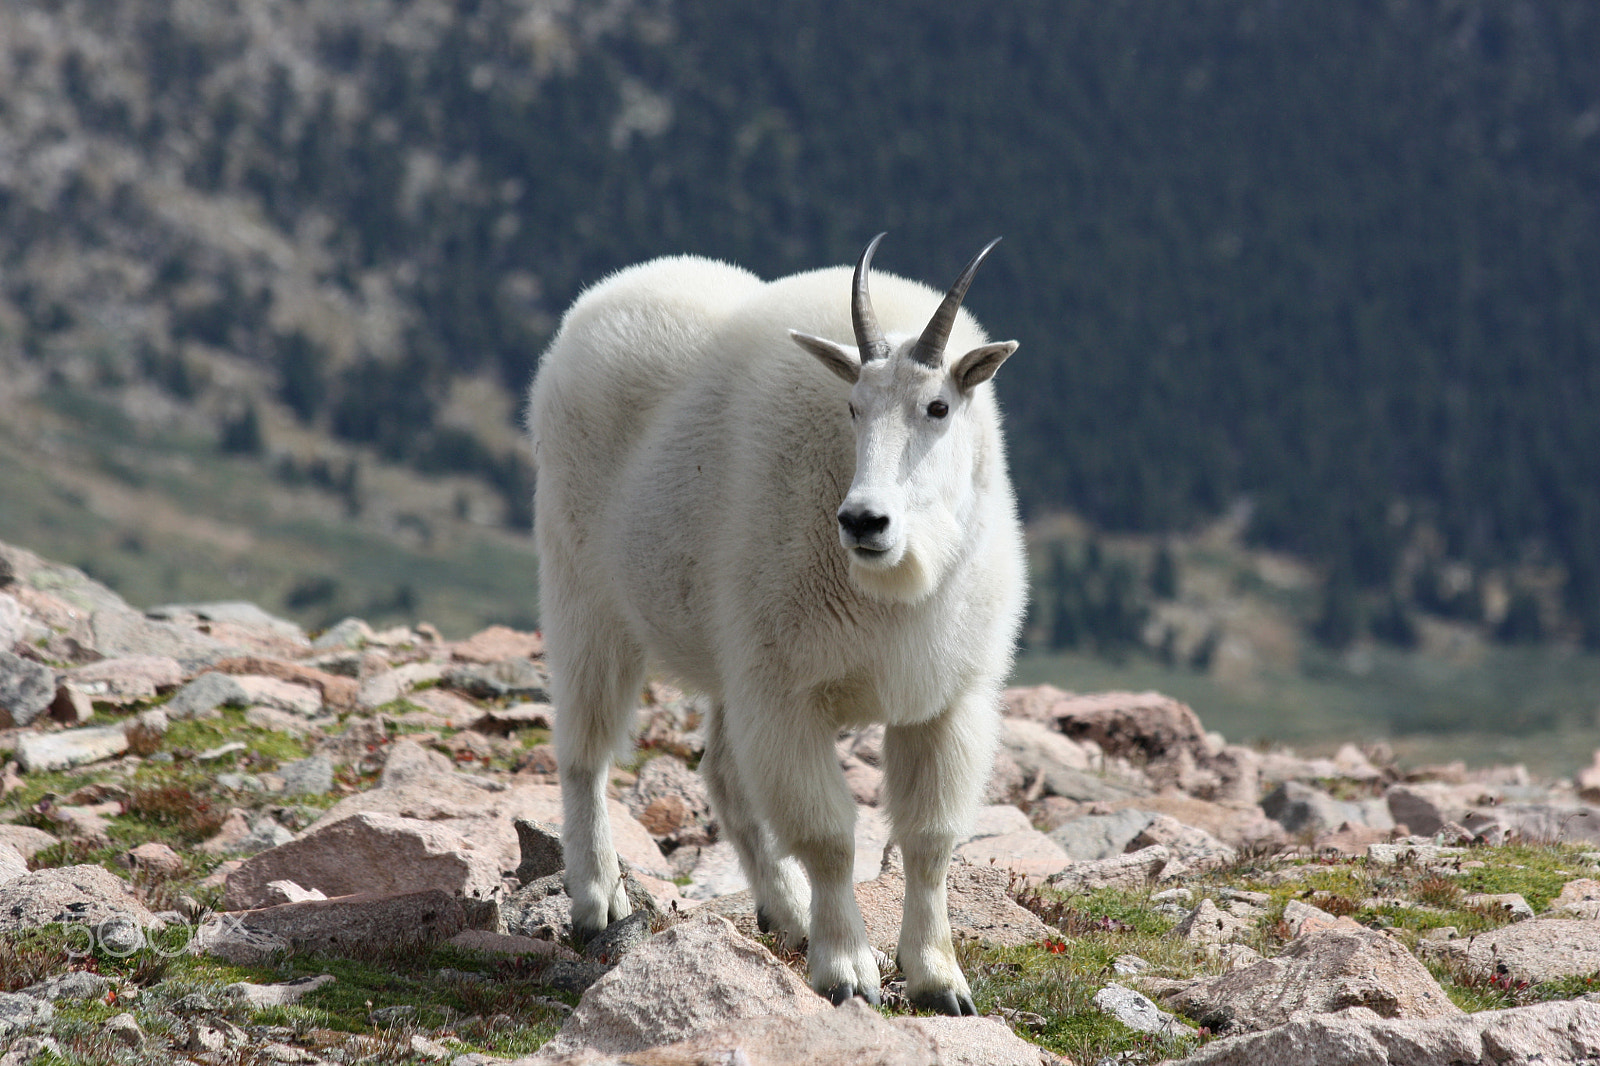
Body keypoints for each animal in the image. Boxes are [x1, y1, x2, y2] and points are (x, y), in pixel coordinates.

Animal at [527, 235, 1026, 1014]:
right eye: (852, 406)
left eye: (939, 406)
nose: (864, 521)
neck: (896, 584)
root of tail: (595, 304)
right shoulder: (788, 692)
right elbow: (829, 836)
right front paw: (847, 971)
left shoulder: (946, 700)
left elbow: (929, 838)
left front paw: (938, 979)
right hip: (584, 592)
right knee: (585, 751)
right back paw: (597, 901)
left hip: (726, 654)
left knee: (723, 774)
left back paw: (785, 912)